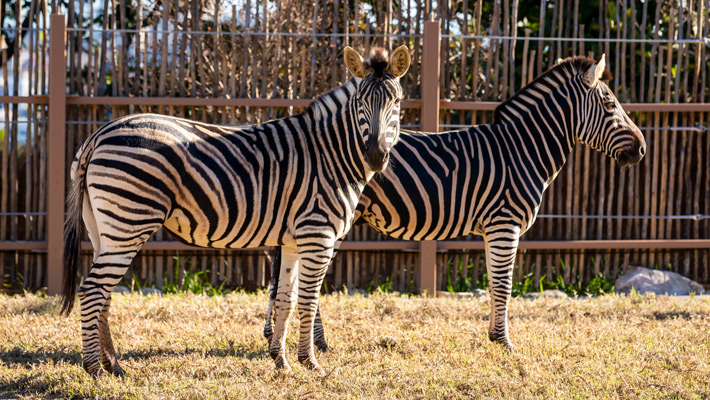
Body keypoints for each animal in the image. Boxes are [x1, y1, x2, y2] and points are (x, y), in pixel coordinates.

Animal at [63, 45, 414, 376]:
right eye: (360, 103)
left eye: (397, 102)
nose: (376, 156)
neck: (330, 153)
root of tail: (99, 134)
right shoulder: (318, 234)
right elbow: (308, 302)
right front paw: (310, 363)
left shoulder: (292, 241)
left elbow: (285, 300)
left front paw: (281, 362)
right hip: (129, 221)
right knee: (92, 290)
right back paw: (94, 368)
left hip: (104, 228)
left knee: (105, 293)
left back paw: (114, 365)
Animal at [264, 54, 648, 352]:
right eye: (611, 105)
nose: (642, 149)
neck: (522, 149)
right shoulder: (504, 225)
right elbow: (504, 285)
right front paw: (505, 343)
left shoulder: (494, 229)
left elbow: (494, 284)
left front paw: (494, 337)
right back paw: (318, 344)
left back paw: (281, 336)